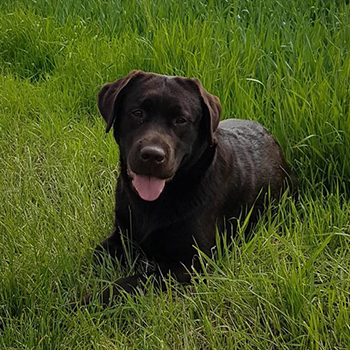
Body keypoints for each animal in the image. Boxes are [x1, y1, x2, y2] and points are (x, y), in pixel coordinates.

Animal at [93, 70, 296, 304]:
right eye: (137, 113)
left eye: (181, 120)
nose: (152, 155)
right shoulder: (120, 237)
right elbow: (94, 254)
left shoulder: (191, 262)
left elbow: (128, 283)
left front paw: (84, 301)